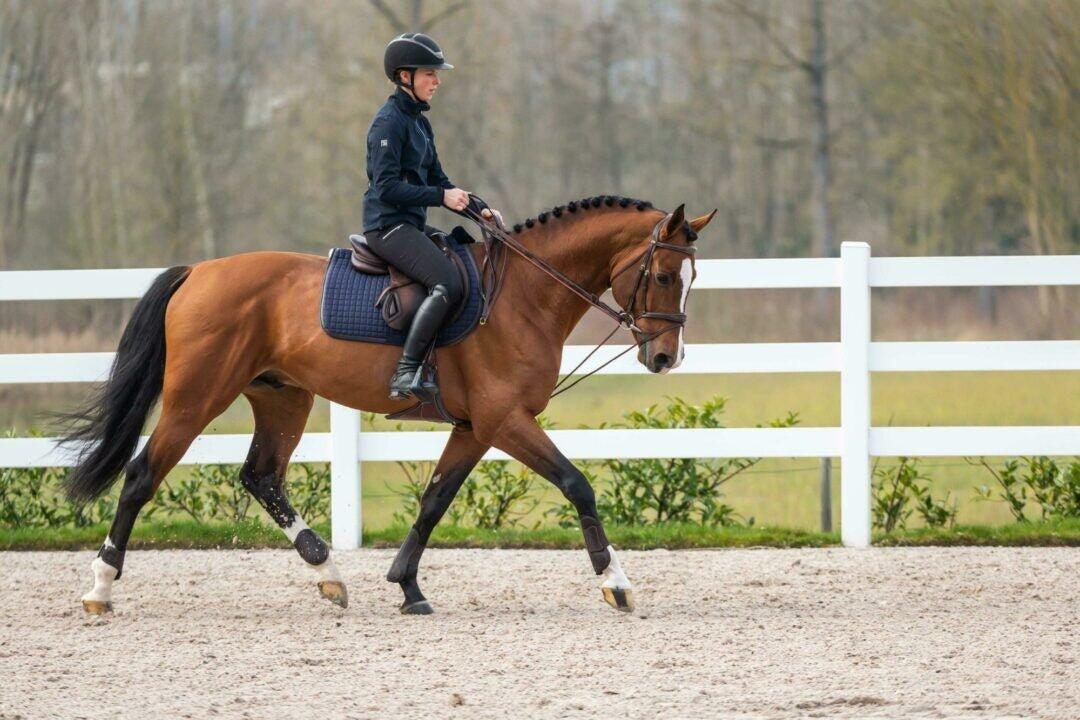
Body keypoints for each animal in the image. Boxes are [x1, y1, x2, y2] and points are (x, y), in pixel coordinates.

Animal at [56, 195, 716, 615]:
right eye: (662, 276)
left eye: (691, 280)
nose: (665, 357)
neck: (524, 295)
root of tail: (198, 272)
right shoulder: (506, 420)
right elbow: (578, 485)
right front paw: (616, 582)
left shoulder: (475, 427)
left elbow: (434, 501)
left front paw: (407, 587)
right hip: (196, 400)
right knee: (142, 476)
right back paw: (101, 589)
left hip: (282, 398)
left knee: (261, 476)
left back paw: (327, 572)